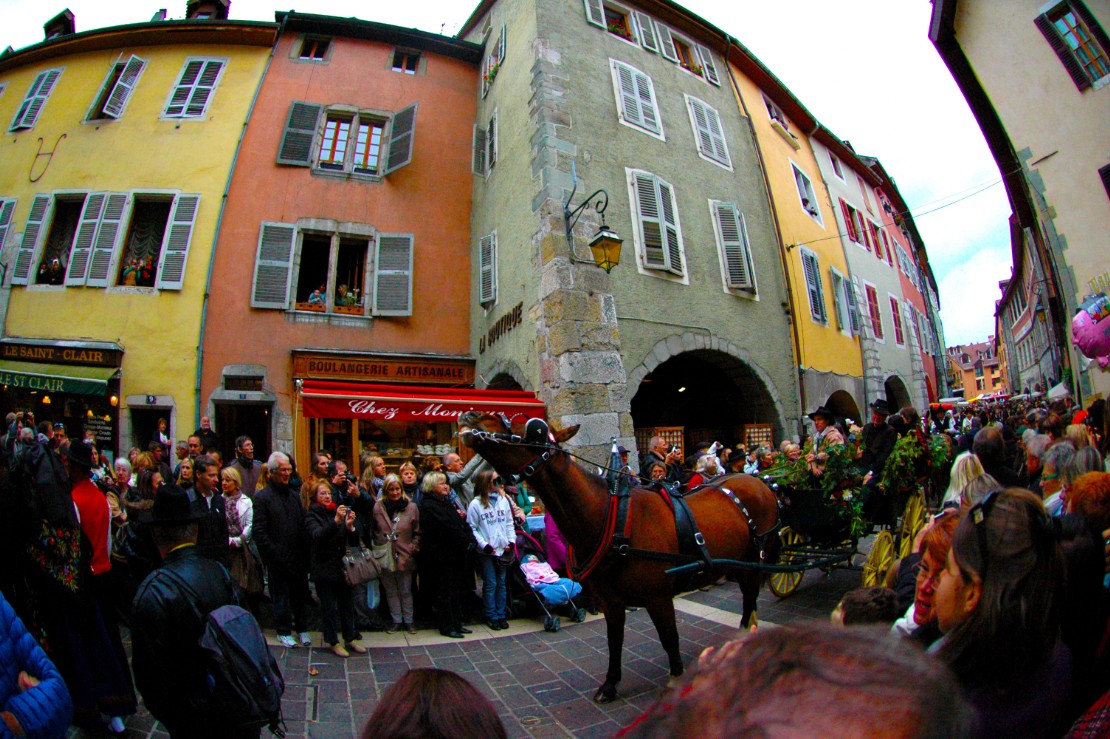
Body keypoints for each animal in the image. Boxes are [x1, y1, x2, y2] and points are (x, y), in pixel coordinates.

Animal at [459, 410, 781, 701]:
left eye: (534, 428)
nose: (470, 416)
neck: (611, 518)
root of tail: (760, 483)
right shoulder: (610, 601)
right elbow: (614, 641)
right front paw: (610, 684)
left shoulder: (659, 597)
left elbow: (669, 638)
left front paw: (676, 679)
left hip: (753, 561)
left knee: (749, 601)